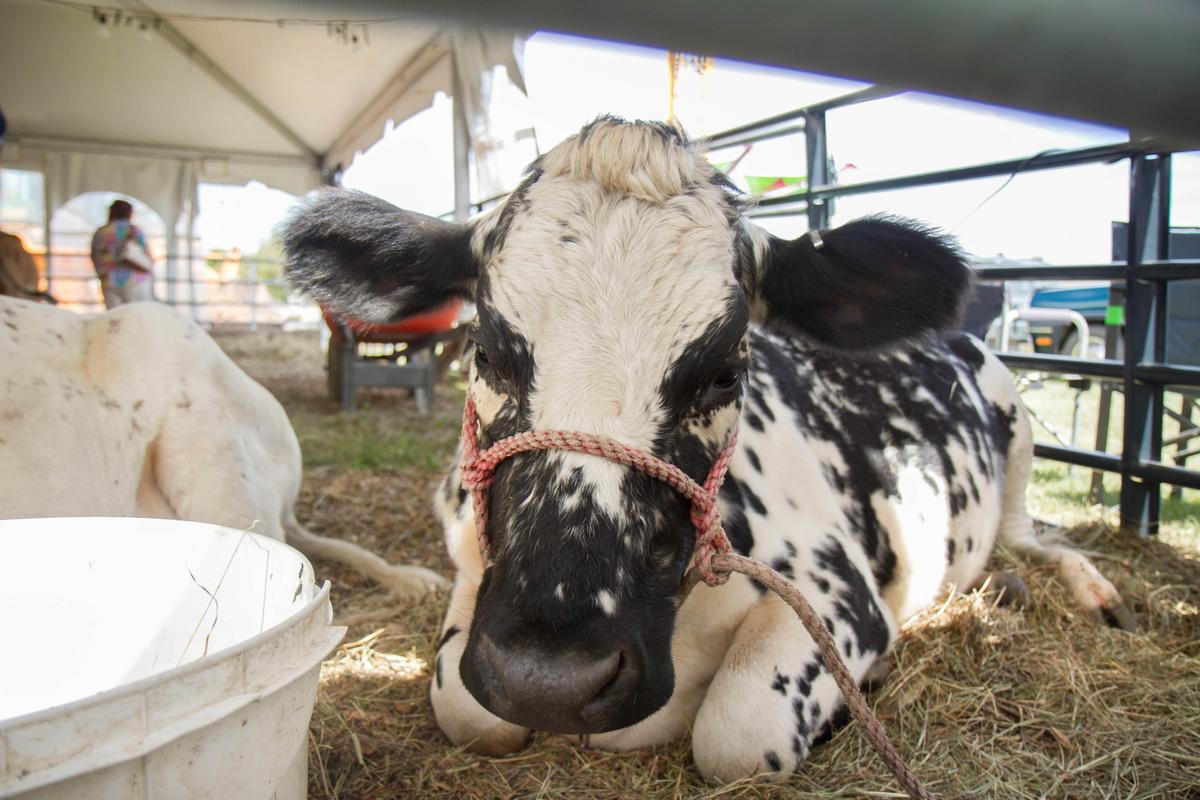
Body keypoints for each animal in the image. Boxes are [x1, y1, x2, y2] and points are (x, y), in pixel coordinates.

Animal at [282, 117, 1132, 782]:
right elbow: (470, 710)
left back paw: (1090, 592)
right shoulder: (470, 572)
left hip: (1018, 437)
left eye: (725, 370)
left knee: (1037, 536)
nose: (552, 679)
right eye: (485, 351)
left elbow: (738, 731)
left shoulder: (839, 592)